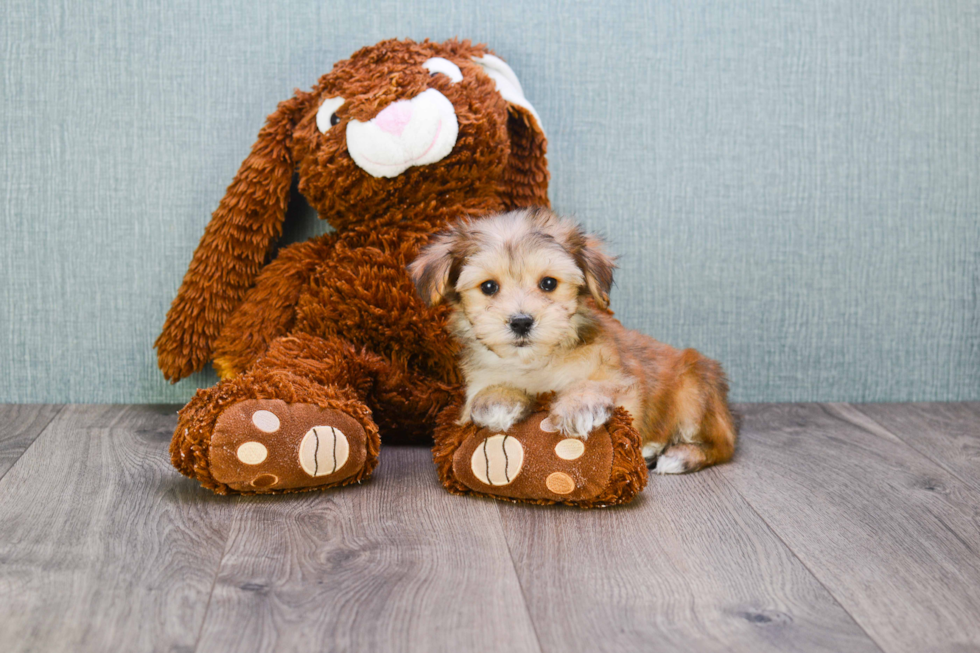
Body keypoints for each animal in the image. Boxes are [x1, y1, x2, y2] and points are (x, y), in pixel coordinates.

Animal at [406, 209, 736, 474]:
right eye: (488, 287)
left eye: (548, 283)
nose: (521, 321)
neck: (537, 362)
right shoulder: (478, 380)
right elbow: (484, 393)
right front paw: (496, 400)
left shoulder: (622, 381)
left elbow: (598, 387)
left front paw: (579, 405)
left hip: (694, 393)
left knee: (723, 444)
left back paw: (676, 455)